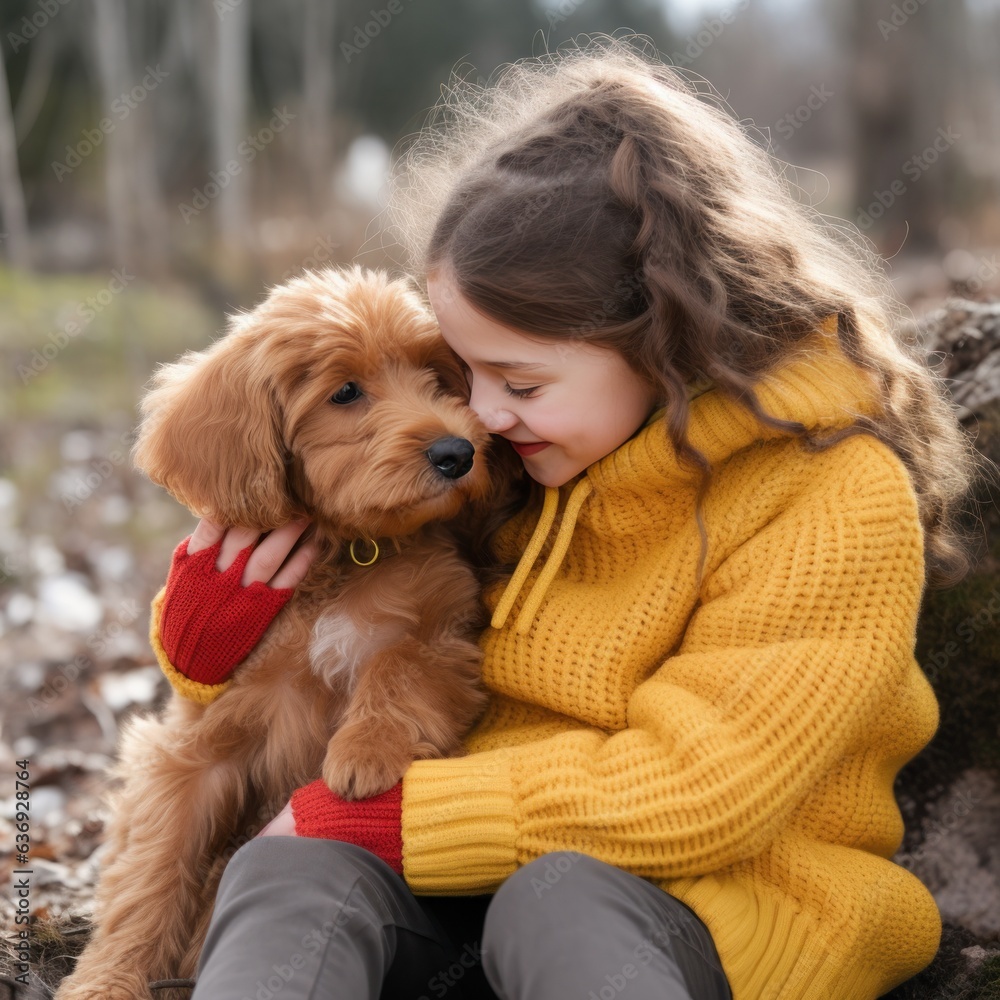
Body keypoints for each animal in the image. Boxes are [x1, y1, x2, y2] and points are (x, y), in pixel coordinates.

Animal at [54, 264, 508, 1000]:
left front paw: (364, 753)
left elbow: (399, 664)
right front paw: (106, 979)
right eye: (345, 393)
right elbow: (151, 874)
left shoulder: (444, 634)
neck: (343, 553)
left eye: (435, 378)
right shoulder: (197, 751)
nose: (458, 451)